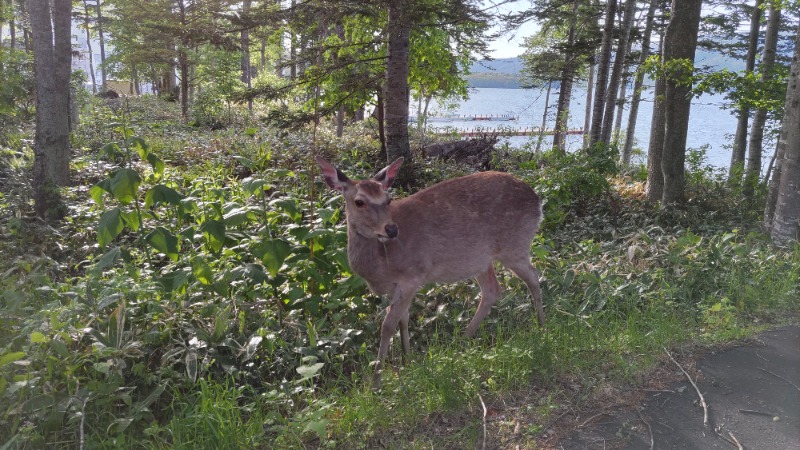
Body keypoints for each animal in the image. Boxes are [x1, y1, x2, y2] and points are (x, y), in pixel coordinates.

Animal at [312, 156, 544, 388]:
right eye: (359, 201)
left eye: (388, 199)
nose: (392, 229)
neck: (380, 266)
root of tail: (538, 202)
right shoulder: (396, 286)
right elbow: (403, 318)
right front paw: (407, 360)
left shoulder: (412, 276)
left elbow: (387, 325)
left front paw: (376, 382)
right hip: (480, 260)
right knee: (492, 290)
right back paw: (462, 341)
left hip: (514, 245)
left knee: (533, 277)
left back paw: (541, 327)